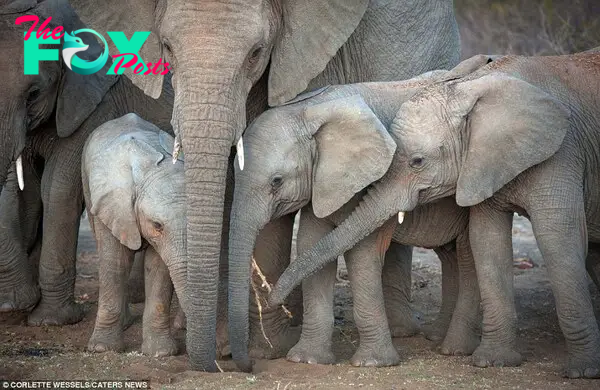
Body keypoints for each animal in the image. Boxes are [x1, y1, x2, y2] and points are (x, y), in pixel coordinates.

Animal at [82, 113, 185, 356]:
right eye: (157, 225)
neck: (151, 168)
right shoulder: (112, 203)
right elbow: (116, 261)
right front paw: (102, 349)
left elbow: (158, 267)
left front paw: (160, 353)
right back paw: (125, 323)